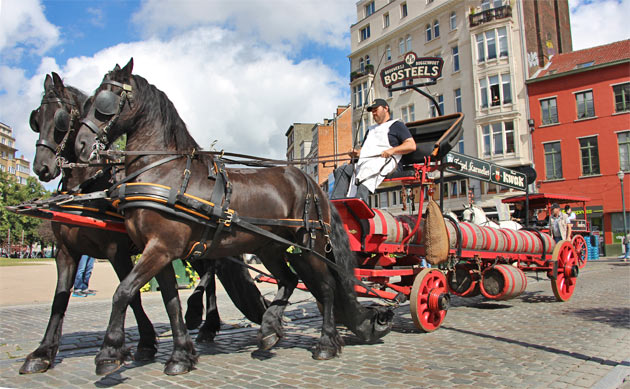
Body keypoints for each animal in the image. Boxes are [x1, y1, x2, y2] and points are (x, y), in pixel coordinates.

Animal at [73, 59, 390, 374]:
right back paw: (270, 330)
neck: (166, 172)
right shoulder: (161, 253)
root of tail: (311, 184)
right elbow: (170, 303)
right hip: (273, 248)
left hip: (309, 248)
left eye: (105, 99)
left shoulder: (161, 248)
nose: (81, 144)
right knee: (290, 281)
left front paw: (109, 353)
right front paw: (180, 356)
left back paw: (325, 343)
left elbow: (123, 292)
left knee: (325, 288)